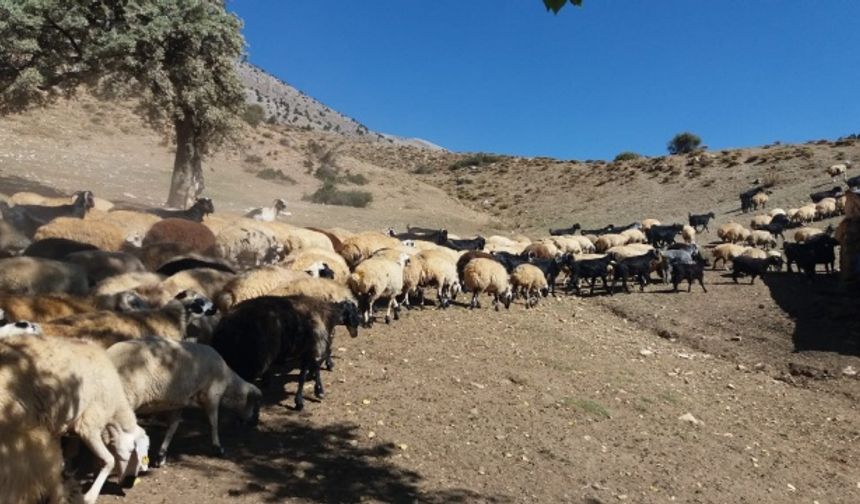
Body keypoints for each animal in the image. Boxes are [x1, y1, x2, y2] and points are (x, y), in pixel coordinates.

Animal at [0, 334, 150, 504]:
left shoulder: (59, 428)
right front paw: (89, 496)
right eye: (134, 452)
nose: (129, 484)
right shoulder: (89, 426)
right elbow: (109, 460)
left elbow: (64, 460)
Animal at [105, 336, 258, 466]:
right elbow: (213, 423)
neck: (228, 382)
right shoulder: (212, 396)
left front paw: (161, 455)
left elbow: (173, 427)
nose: (254, 423)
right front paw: (218, 448)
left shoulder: (179, 402)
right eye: (255, 405)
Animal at [213, 296, 364, 410]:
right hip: (252, 359)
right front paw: (303, 400)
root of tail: (226, 322)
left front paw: (316, 389)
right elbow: (304, 375)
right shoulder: (311, 348)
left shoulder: (309, 350)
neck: (328, 314)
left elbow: (313, 368)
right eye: (355, 311)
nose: (356, 333)